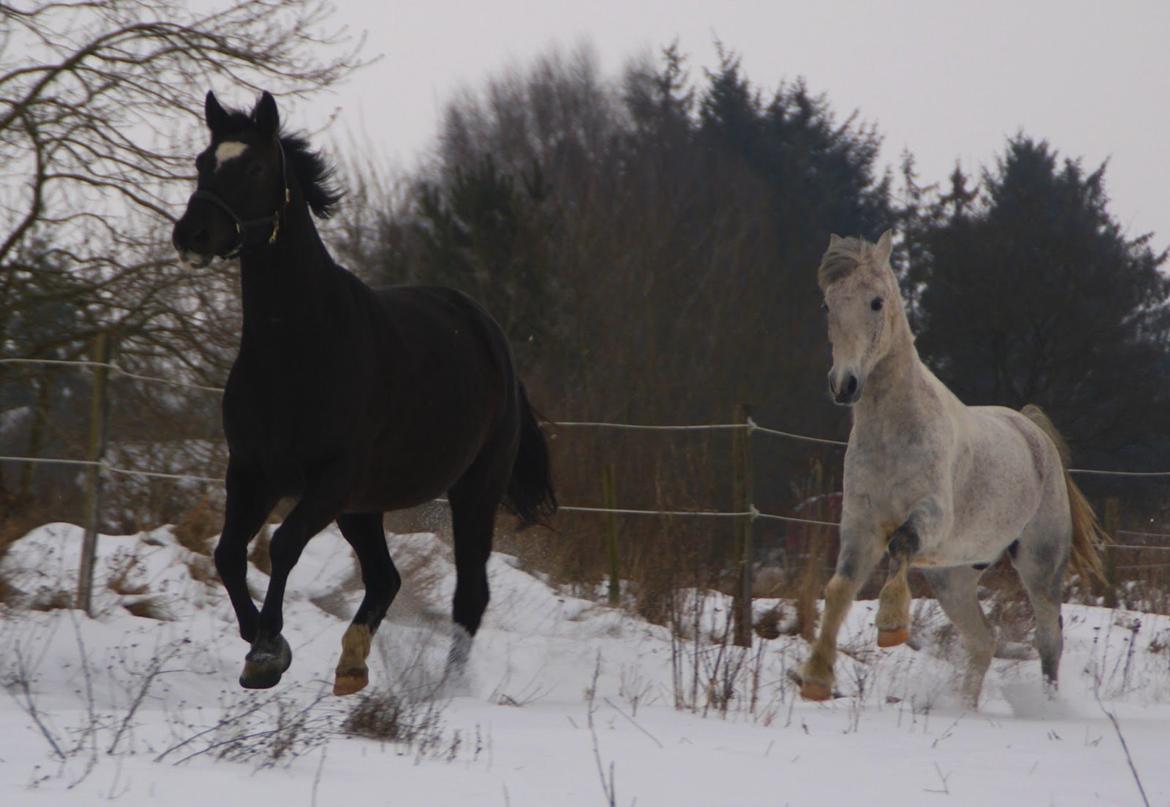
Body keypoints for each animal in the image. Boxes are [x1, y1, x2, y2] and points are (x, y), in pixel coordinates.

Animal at [173, 89, 556, 692]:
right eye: (202, 162)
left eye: (254, 167)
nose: (191, 235)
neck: (294, 351)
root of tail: (488, 332)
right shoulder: (252, 473)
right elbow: (229, 554)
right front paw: (262, 643)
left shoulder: (331, 478)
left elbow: (282, 546)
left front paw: (268, 651)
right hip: (364, 507)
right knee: (385, 578)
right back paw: (352, 665)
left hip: (473, 491)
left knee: (469, 593)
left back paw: (446, 689)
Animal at [800, 229, 1099, 701]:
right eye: (828, 304)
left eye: (876, 302)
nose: (843, 384)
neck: (894, 435)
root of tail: (1033, 432)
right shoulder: (859, 527)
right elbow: (839, 588)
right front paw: (814, 679)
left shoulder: (931, 516)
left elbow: (900, 544)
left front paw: (890, 626)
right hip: (953, 577)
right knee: (983, 641)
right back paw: (964, 705)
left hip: (1040, 565)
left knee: (1049, 639)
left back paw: (1049, 705)